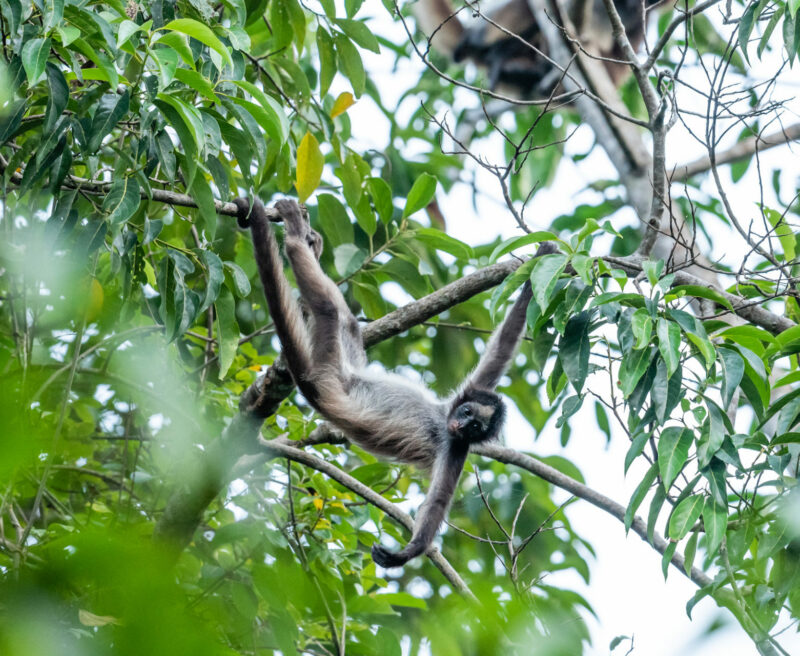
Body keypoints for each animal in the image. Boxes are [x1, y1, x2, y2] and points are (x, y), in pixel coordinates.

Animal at [233, 196, 556, 568]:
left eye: (476, 428)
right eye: (468, 413)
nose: (462, 425)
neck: (442, 421)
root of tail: (322, 388)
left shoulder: (455, 449)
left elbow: (437, 503)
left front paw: (407, 552)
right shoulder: (472, 392)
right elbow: (502, 348)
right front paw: (540, 261)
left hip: (329, 368)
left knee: (328, 309)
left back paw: (298, 241)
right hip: (345, 363)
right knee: (343, 317)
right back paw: (306, 240)